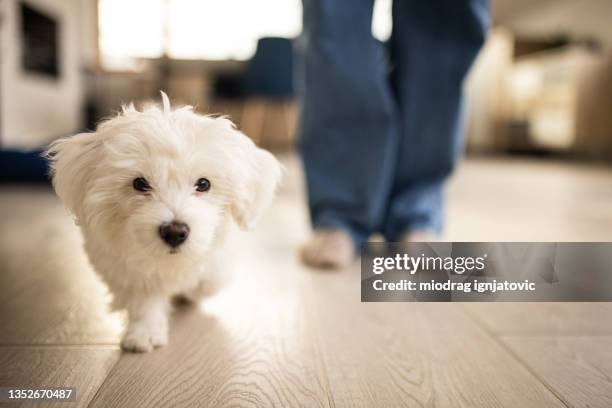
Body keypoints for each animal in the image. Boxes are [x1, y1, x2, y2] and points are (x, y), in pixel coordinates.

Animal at [46, 91, 282, 350]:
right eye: (139, 183)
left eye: (204, 184)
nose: (175, 232)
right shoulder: (118, 264)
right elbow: (143, 297)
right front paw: (145, 332)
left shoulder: (221, 256)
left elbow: (210, 278)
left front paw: (193, 288)